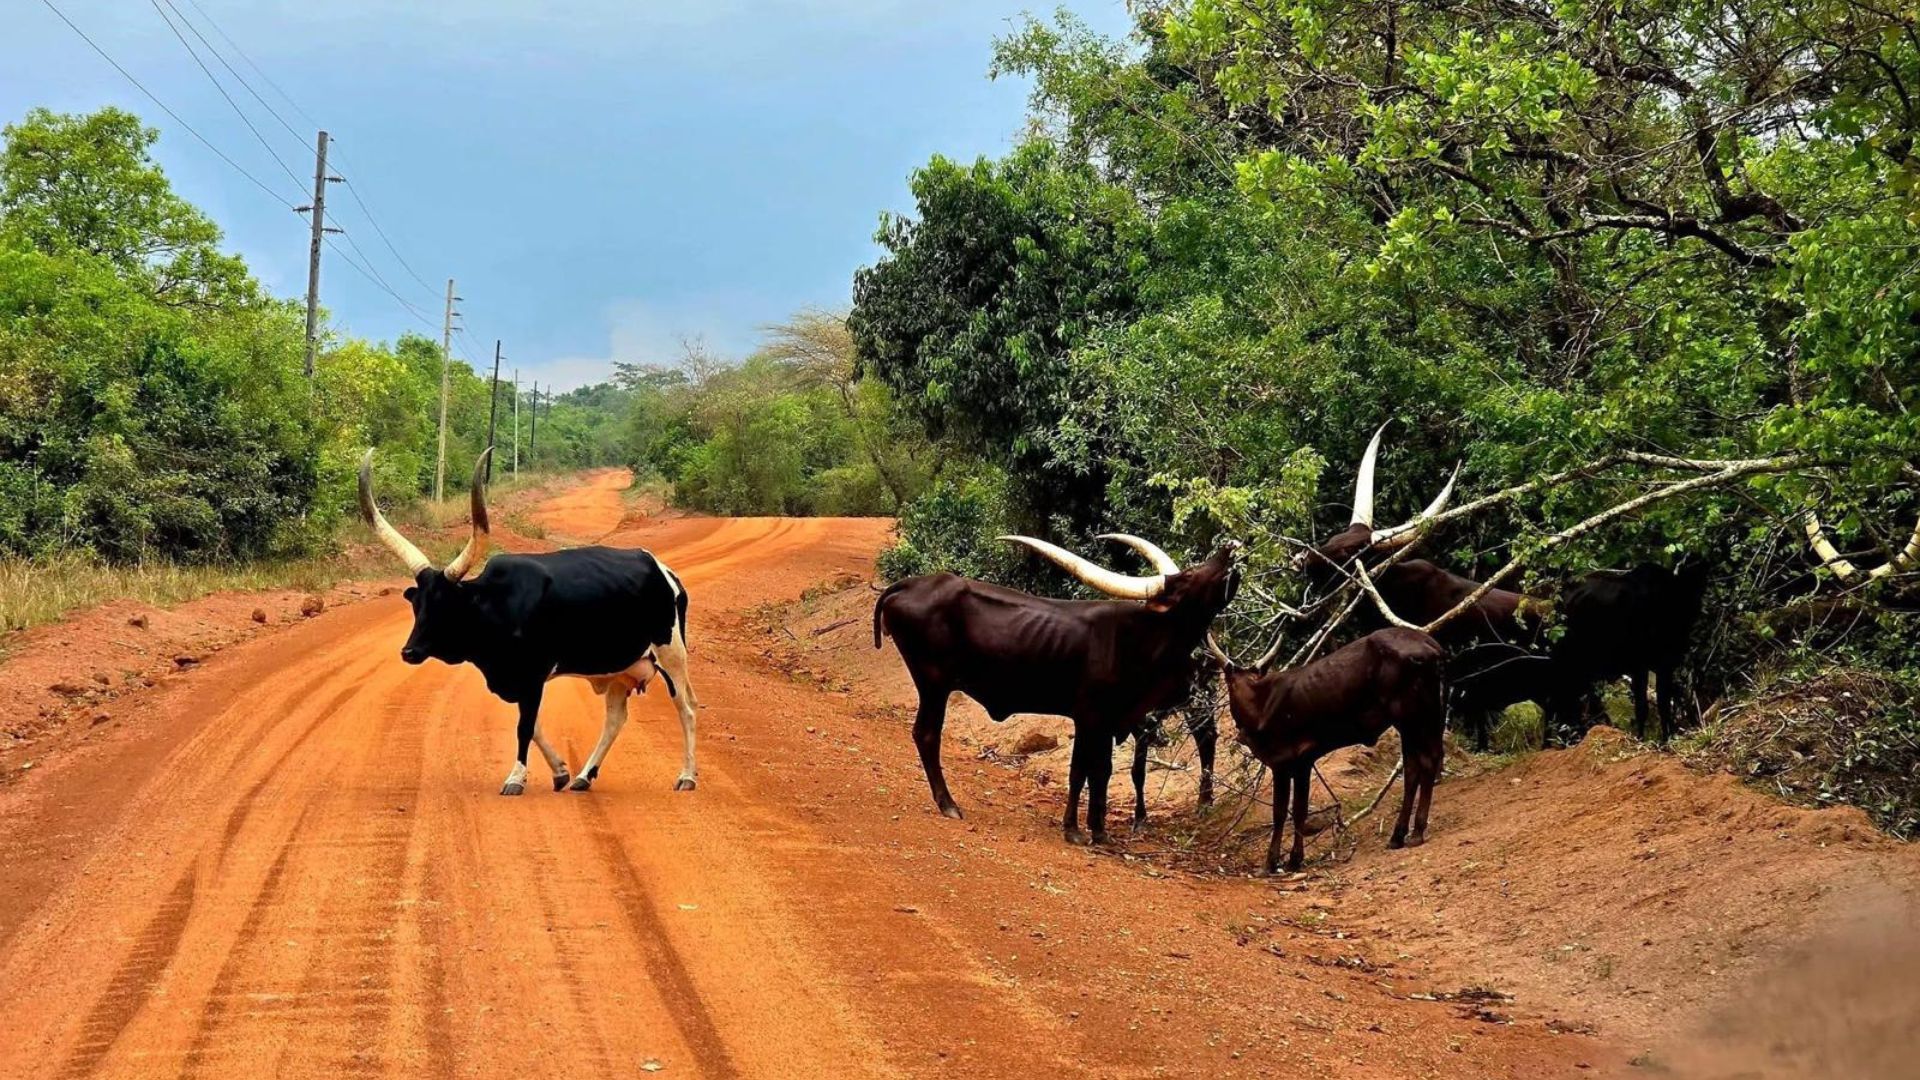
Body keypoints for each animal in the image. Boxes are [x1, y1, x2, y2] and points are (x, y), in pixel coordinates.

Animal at [360, 448, 700, 795]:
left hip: (671, 654)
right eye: (417, 605)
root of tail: (664, 571)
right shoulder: (520, 680)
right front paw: (561, 772)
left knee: (685, 708)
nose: (409, 652)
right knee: (615, 718)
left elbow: (524, 727)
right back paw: (583, 776)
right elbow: (533, 725)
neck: (497, 603)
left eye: (445, 605)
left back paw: (686, 776)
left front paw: (515, 778)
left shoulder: (533, 675)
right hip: (621, 667)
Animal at [874, 535, 1241, 845]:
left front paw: (1099, 831)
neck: (1141, 637)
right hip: (933, 683)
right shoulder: (1089, 717)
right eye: (1189, 576)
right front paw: (1074, 830)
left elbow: (1101, 772)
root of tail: (909, 584)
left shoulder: (1111, 722)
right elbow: (1080, 771)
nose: (1230, 548)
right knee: (926, 735)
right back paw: (948, 804)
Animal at [1208, 627, 1448, 873]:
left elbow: (1282, 812)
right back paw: (1397, 836)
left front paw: (1274, 862)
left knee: (1427, 761)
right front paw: (1294, 859)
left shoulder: (1283, 763)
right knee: (1413, 768)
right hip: (1418, 720)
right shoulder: (1303, 762)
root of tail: (1431, 645)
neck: (1258, 702)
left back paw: (1416, 832)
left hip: (1413, 717)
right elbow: (1300, 811)